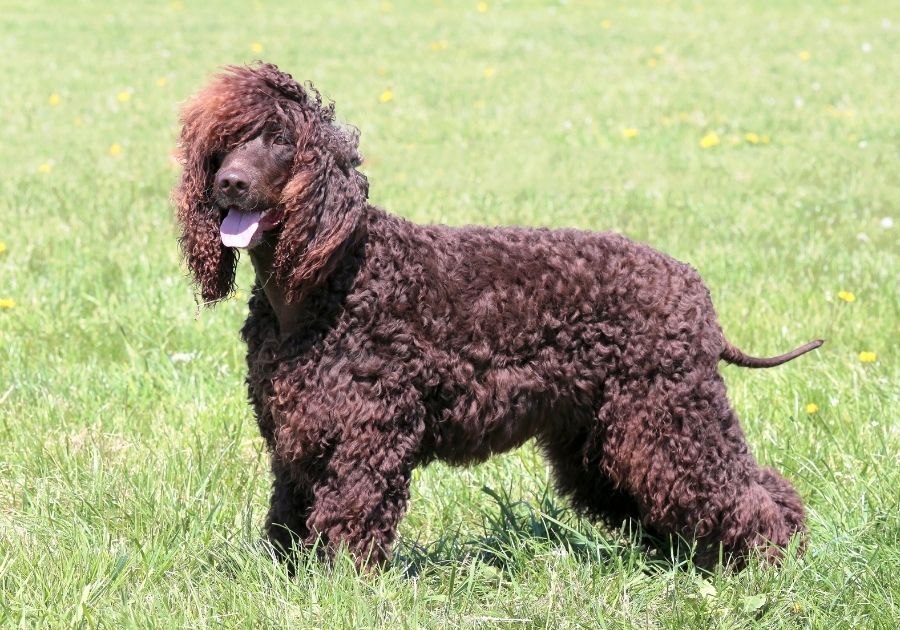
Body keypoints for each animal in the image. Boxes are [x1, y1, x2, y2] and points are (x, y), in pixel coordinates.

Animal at [174, 64, 824, 572]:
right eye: (223, 144)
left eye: (280, 140)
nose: (229, 183)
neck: (321, 283)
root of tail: (694, 288)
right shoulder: (295, 436)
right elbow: (288, 516)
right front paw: (289, 579)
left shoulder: (367, 437)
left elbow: (350, 516)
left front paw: (342, 587)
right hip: (602, 439)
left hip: (668, 415)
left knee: (744, 491)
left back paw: (771, 561)